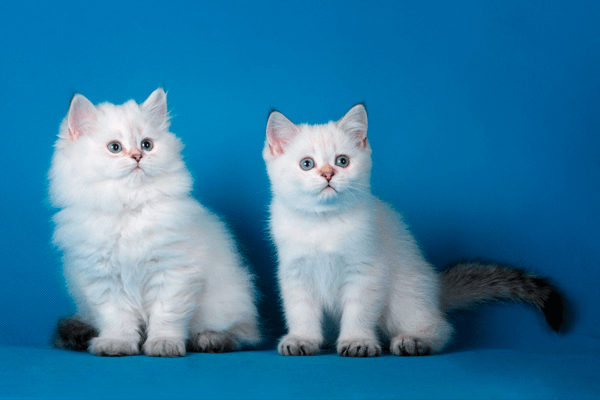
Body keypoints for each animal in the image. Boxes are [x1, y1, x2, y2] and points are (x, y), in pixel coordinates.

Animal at [49, 88, 260, 356]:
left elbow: (166, 316)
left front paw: (164, 344)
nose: (138, 156)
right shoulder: (103, 279)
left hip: (230, 301)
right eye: (115, 147)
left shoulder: (173, 273)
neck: (128, 207)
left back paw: (210, 339)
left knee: (240, 333)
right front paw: (117, 344)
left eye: (146, 145)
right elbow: (117, 319)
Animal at [262, 104, 564, 358]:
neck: (324, 223)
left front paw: (357, 341)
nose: (327, 174)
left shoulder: (367, 272)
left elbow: (358, 311)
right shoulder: (295, 273)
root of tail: (436, 290)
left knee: (439, 327)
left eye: (342, 161)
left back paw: (415, 340)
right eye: (307, 164)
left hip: (404, 295)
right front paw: (302, 339)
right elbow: (301, 311)